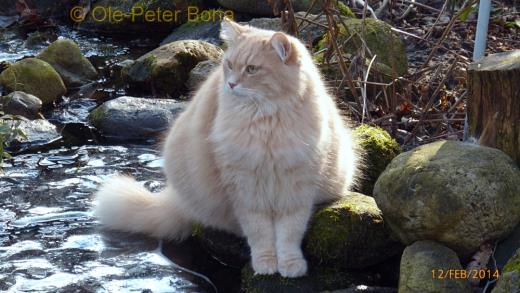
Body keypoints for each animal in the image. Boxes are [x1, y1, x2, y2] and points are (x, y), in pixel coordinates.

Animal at [93, 19, 360, 278]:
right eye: (230, 65)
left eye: (251, 69)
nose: (231, 84)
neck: (266, 122)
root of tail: (178, 199)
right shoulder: (245, 187)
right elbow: (260, 233)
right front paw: (265, 262)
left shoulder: (297, 187)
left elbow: (289, 233)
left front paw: (290, 264)